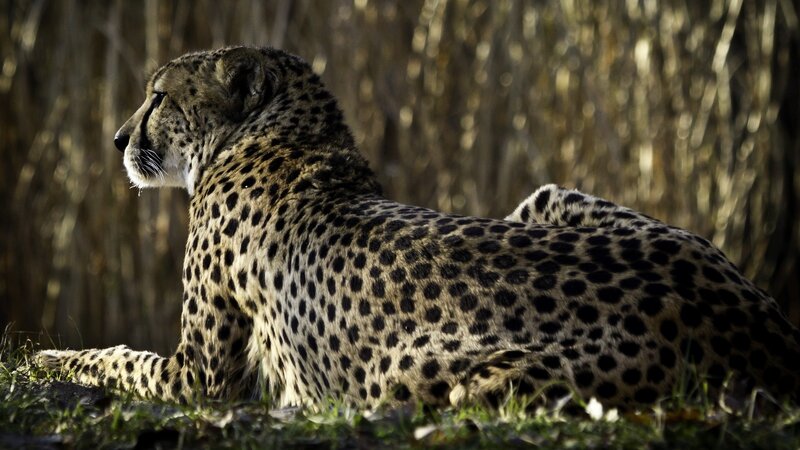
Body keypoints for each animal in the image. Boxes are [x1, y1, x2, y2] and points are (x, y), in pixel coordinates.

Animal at [36, 46, 800, 410]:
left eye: (159, 96)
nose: (115, 139)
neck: (277, 132)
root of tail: (757, 323)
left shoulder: (200, 376)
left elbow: (115, 357)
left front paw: (45, 357)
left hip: (449, 379)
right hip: (551, 197)